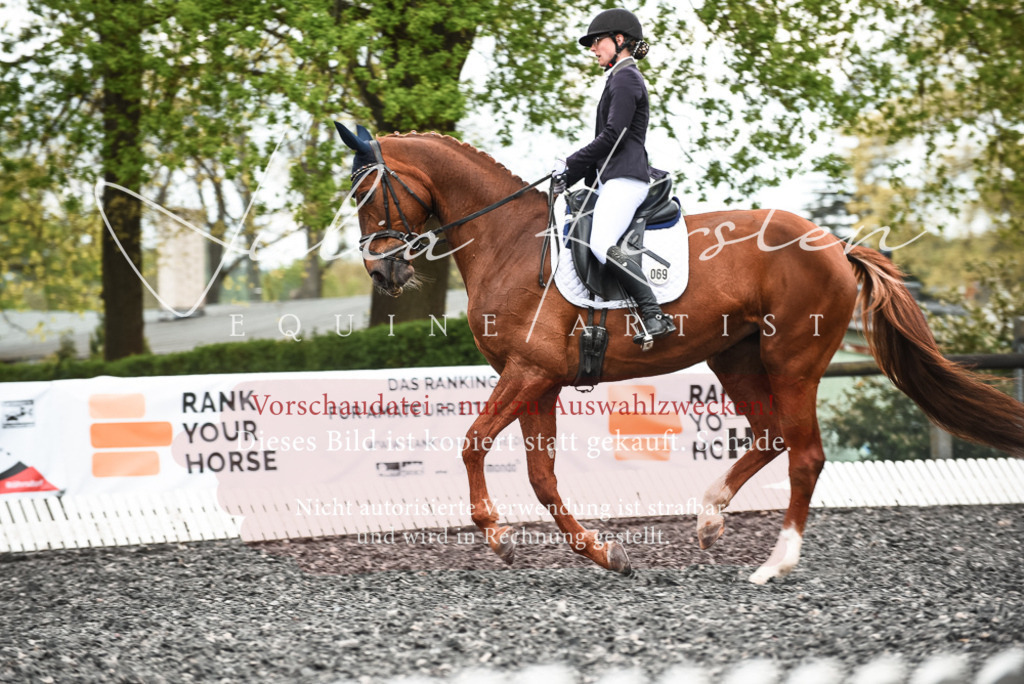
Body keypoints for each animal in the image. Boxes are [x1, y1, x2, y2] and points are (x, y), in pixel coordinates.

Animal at [334, 124, 1024, 584]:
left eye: (367, 195)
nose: (383, 271)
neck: (508, 241)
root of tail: (835, 245)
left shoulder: (529, 372)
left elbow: (474, 443)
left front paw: (498, 536)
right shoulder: (538, 380)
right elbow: (541, 475)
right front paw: (604, 554)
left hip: (793, 362)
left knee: (805, 455)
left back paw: (775, 564)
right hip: (737, 358)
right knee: (771, 435)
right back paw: (710, 517)